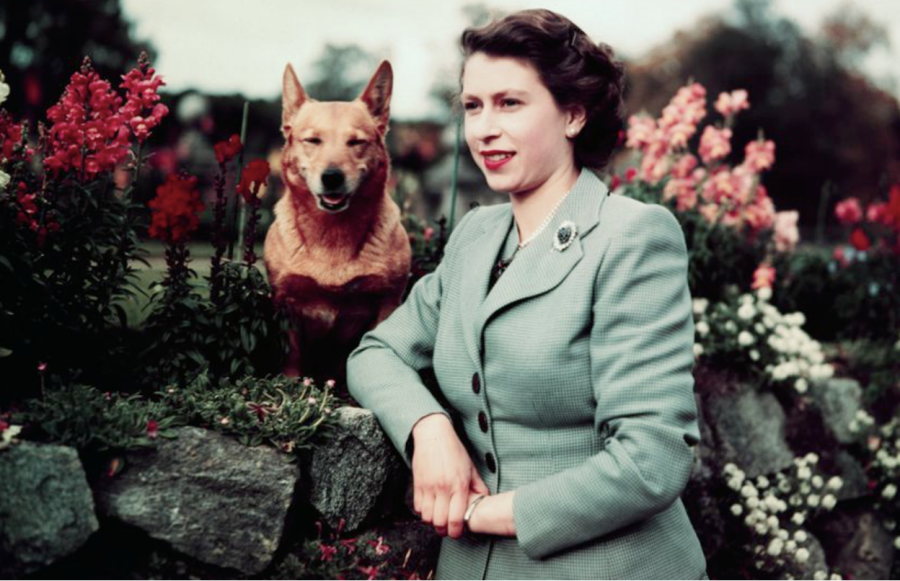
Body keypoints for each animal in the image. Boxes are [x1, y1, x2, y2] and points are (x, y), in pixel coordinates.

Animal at [264, 61, 412, 388]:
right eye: (312, 140)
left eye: (356, 142)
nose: (332, 177)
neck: (333, 234)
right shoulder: (285, 302)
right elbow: (292, 357)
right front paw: (291, 387)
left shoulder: (387, 302)